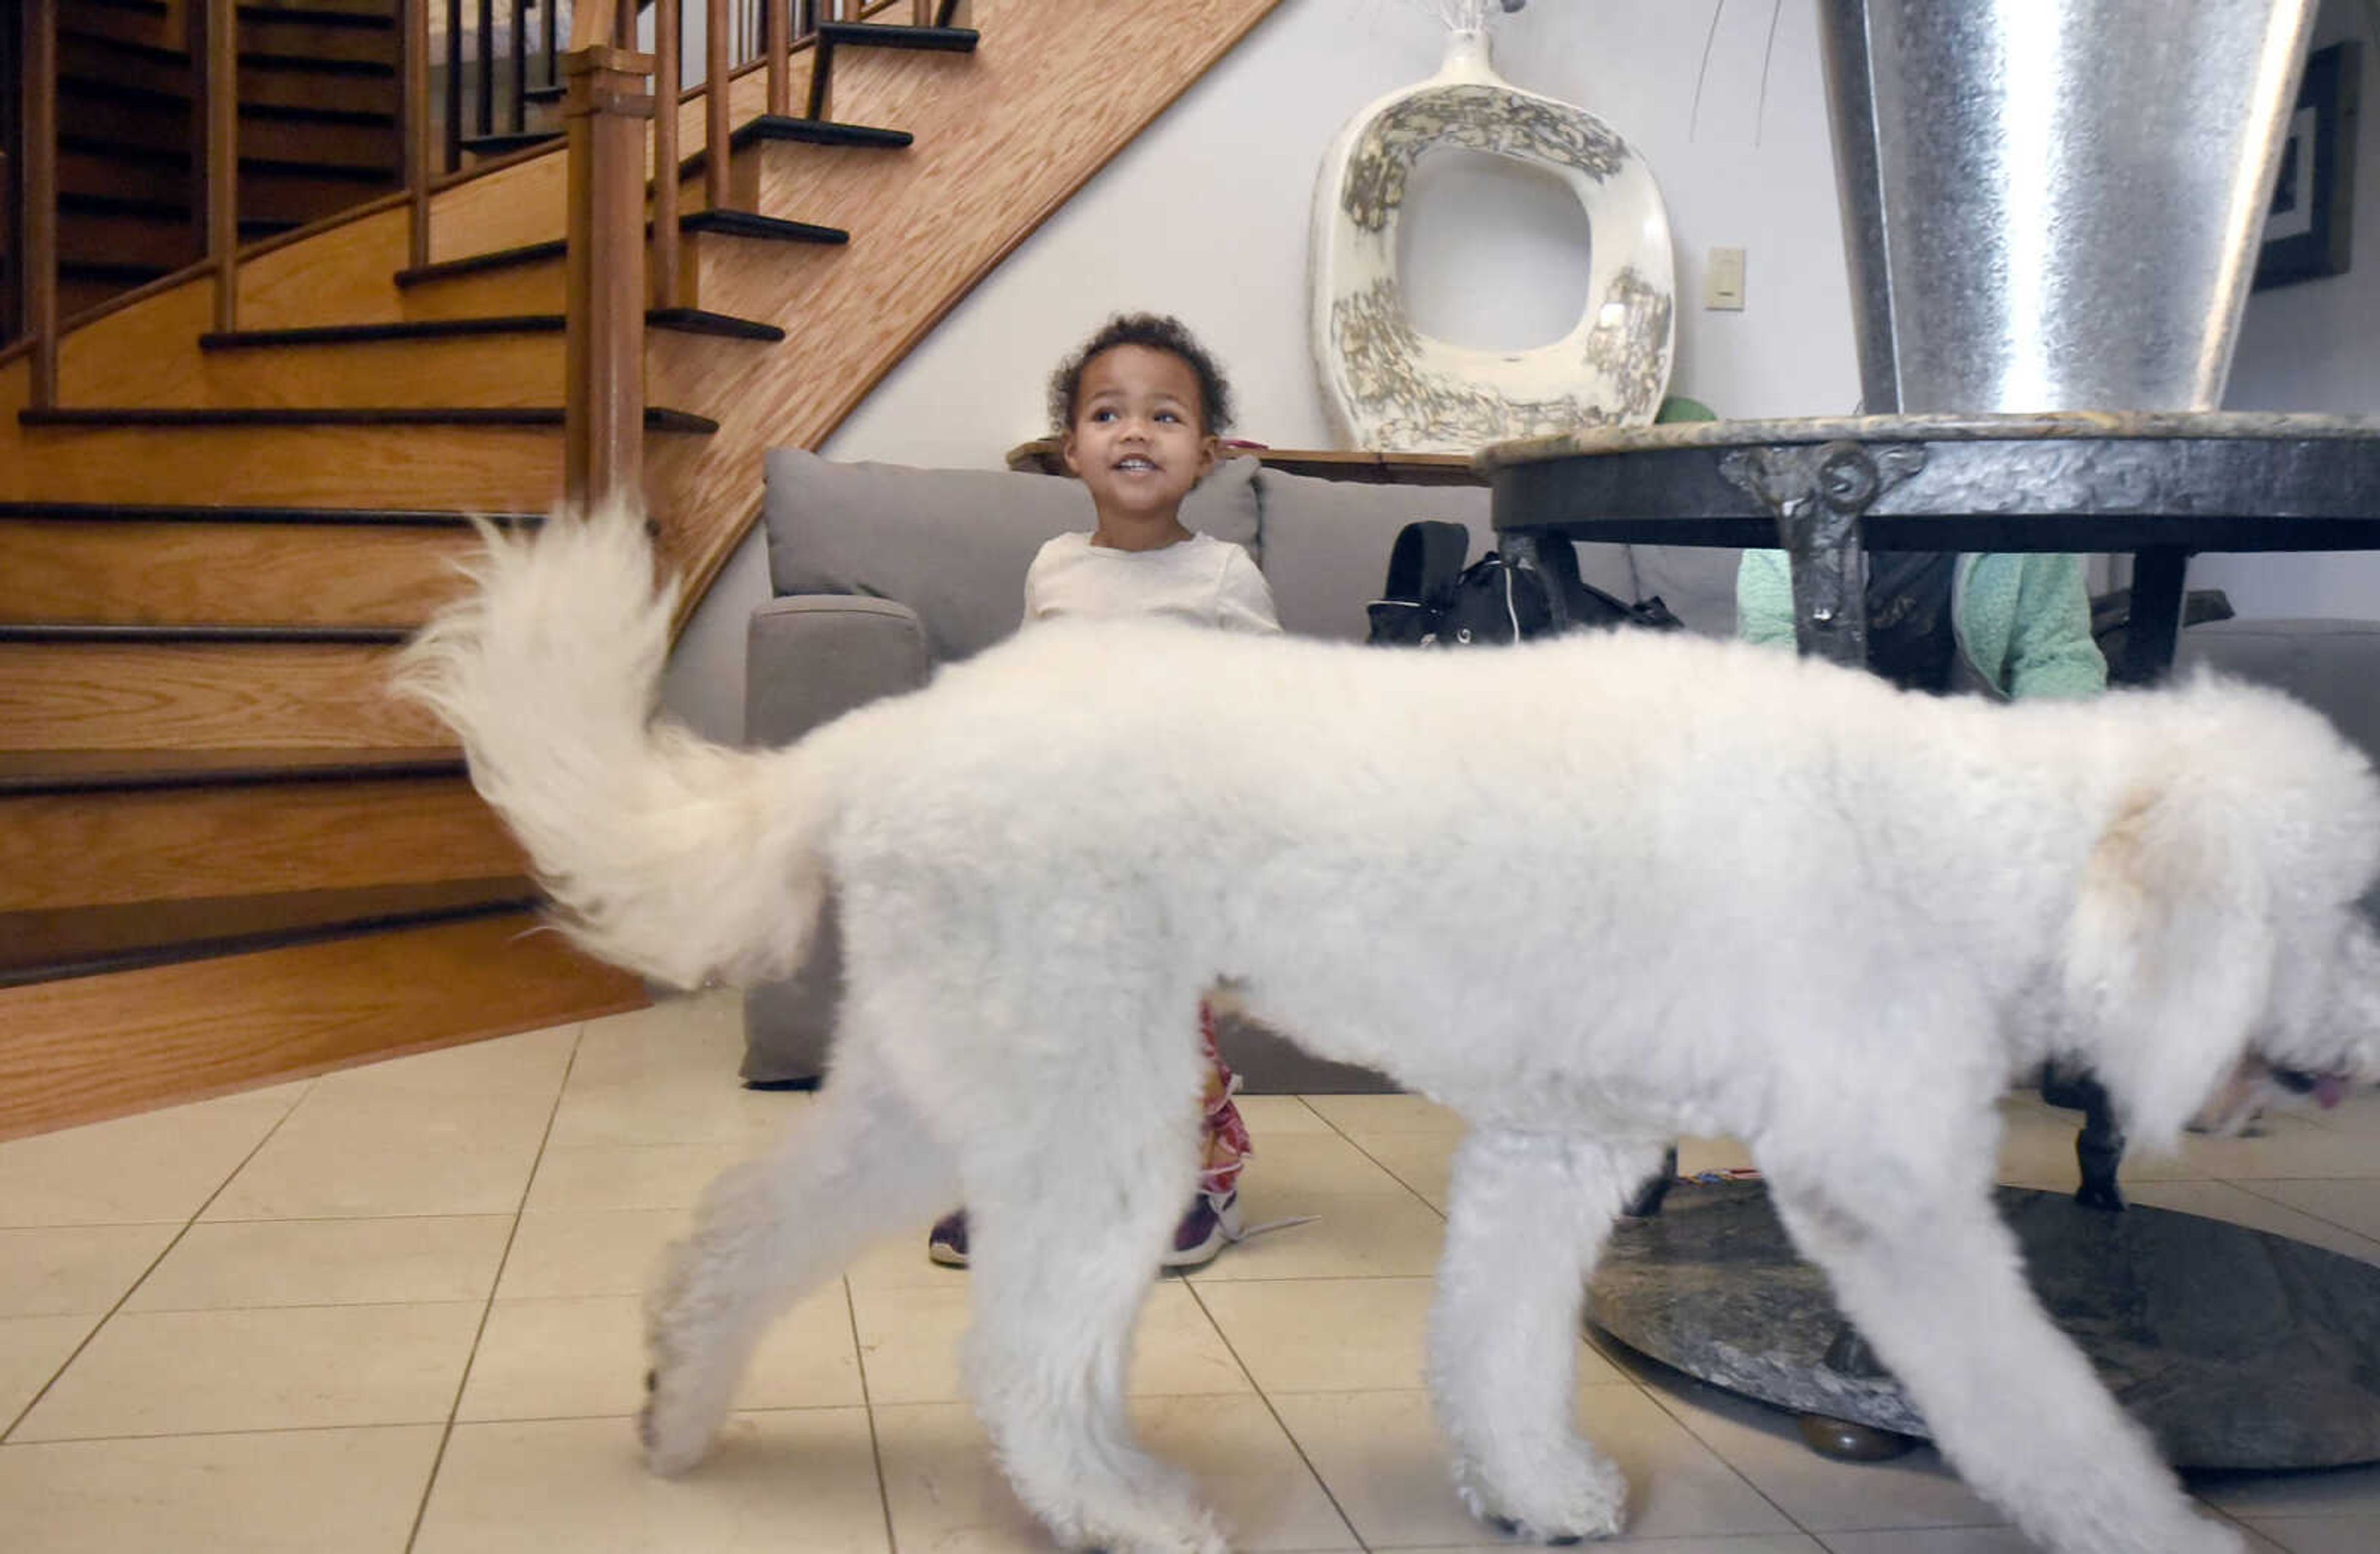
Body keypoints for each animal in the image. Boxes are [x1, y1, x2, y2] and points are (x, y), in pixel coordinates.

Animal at [400, 507, 2380, 1552]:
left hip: (951, 1076)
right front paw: (2170, 1532)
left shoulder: (1557, 1148)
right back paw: (1117, 1507)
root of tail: (886, 731)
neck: (1971, 835)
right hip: (1097, 1113)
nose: (2365, 1046)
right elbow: (2048, 1409)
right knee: (1020, 1362)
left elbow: (1497, 1350)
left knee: (752, 1234)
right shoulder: (1887, 1204)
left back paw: (679, 1409)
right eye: (2353, 903)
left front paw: (1537, 1488)